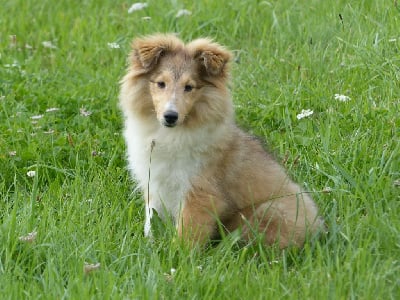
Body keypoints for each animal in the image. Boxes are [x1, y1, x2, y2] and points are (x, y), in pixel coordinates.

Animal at [119, 33, 324, 248]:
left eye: (189, 87)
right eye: (160, 83)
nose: (170, 116)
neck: (170, 134)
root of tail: (318, 228)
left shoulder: (201, 192)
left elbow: (187, 233)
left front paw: (176, 253)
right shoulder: (154, 184)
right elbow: (151, 220)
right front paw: (149, 246)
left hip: (267, 212)